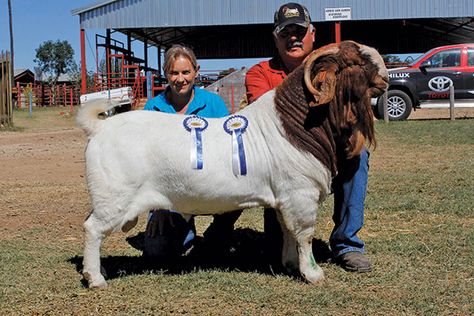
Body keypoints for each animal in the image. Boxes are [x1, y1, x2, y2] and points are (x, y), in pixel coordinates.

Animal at [78, 40, 388, 288]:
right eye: (355, 61)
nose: (386, 76)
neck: (295, 126)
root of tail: (100, 128)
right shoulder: (301, 194)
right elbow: (304, 235)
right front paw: (313, 274)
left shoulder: (286, 199)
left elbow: (287, 231)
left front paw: (289, 265)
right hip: (114, 198)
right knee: (92, 229)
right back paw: (96, 278)